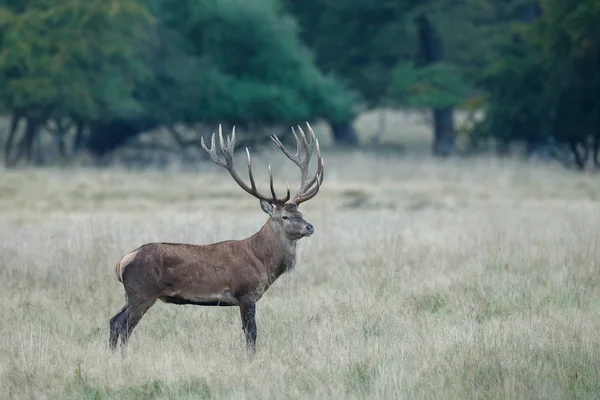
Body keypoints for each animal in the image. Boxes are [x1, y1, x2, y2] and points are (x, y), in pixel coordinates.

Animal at [108, 122, 324, 354]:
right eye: (285, 216)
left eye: (300, 213)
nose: (310, 227)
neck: (262, 262)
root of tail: (122, 262)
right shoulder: (246, 293)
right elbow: (251, 334)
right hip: (142, 292)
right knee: (124, 326)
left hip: (132, 294)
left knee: (113, 321)